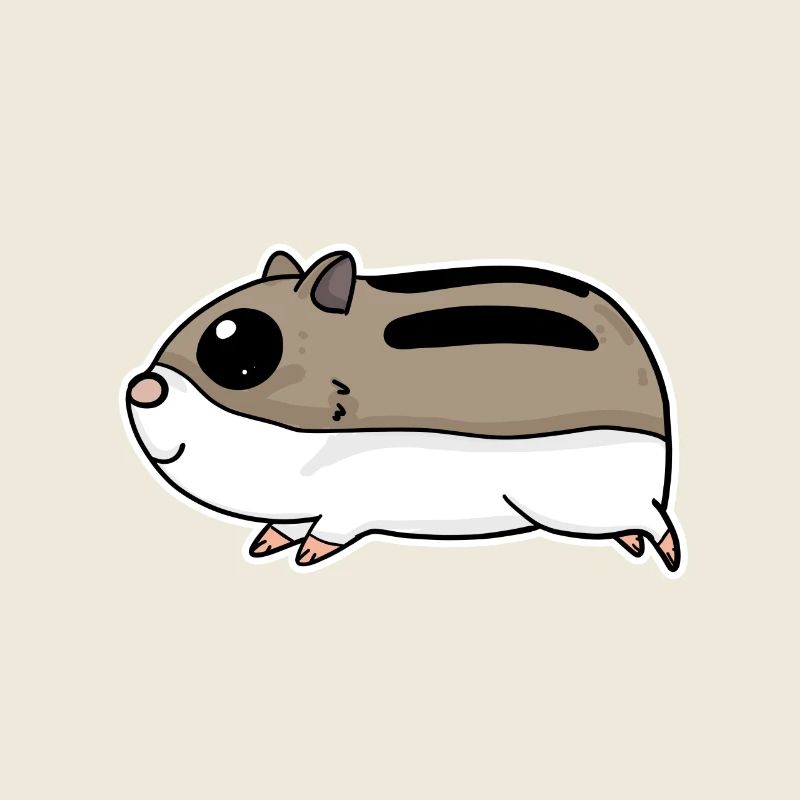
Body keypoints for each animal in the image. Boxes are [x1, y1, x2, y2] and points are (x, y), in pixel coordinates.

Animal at [124, 246, 682, 574]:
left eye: (241, 354)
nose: (142, 389)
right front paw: (267, 543)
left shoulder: (354, 499)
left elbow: (330, 529)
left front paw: (306, 553)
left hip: (576, 499)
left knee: (653, 521)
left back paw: (665, 551)